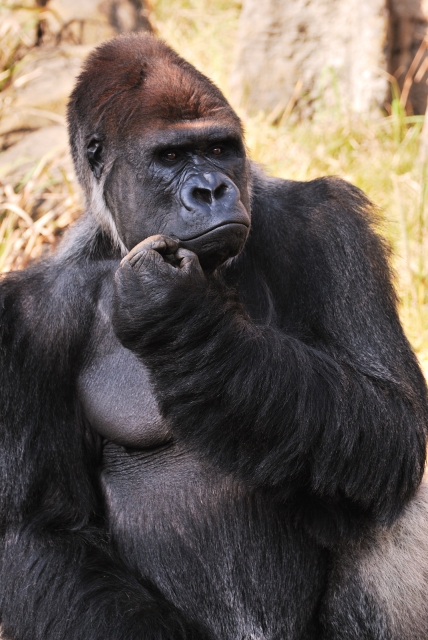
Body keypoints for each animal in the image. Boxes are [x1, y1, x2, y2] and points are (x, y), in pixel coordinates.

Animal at [0, 33, 428, 640]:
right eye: (171, 157)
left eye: (220, 149)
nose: (210, 189)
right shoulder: (29, 319)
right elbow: (48, 526)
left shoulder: (331, 224)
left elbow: (391, 420)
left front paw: (182, 318)